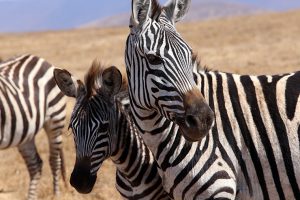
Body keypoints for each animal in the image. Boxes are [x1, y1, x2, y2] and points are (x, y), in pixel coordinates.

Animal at [0, 54, 67, 199]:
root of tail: (37, 58)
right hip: (24, 133)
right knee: (35, 165)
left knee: (55, 160)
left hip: (55, 121)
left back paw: (56, 195)